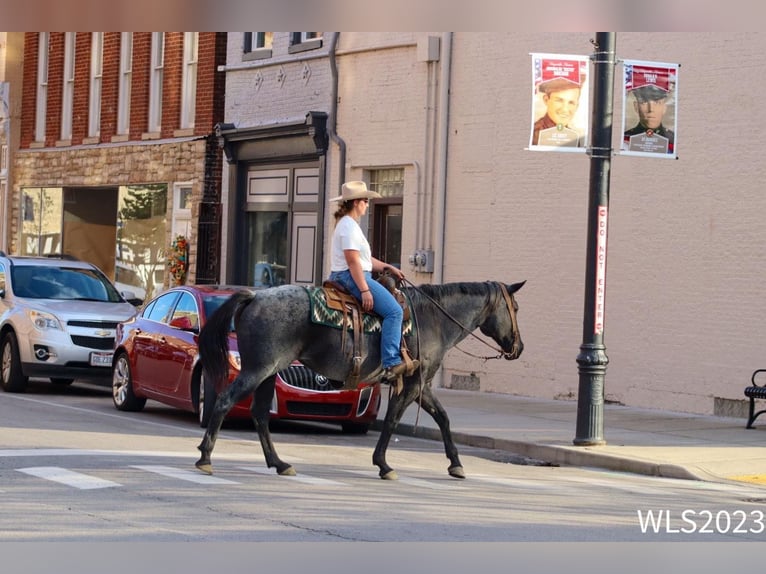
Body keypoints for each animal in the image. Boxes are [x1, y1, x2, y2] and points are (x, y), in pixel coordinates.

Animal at [195, 280, 524, 482]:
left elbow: (443, 418)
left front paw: (456, 464)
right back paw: (205, 457)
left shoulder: (423, 385)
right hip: (257, 370)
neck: (434, 319)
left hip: (267, 373)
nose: (518, 348)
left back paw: (280, 463)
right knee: (224, 402)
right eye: (516, 309)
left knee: (260, 415)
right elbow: (392, 420)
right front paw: (383, 464)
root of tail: (255, 296)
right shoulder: (412, 385)